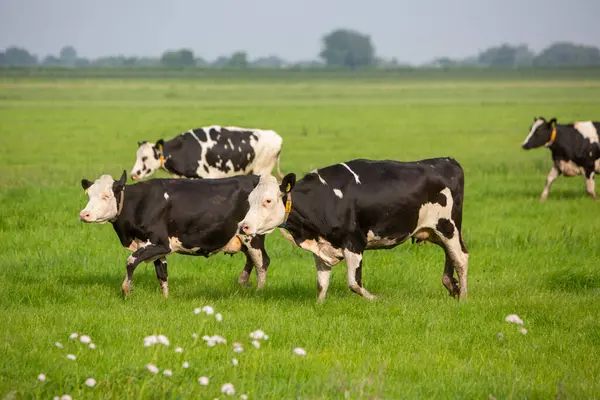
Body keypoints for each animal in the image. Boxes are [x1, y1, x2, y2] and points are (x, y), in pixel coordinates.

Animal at [78, 170, 270, 296]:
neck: (140, 202)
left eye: (106, 196)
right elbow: (162, 273)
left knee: (262, 262)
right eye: (89, 196)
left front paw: (127, 290)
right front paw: (166, 299)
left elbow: (131, 261)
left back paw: (259, 292)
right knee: (251, 261)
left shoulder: (160, 242)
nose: (84, 214)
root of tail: (255, 177)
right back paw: (242, 282)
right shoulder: (156, 247)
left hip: (253, 237)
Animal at [236, 158, 468, 302]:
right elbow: (322, 284)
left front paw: (378, 299)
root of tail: (446, 161)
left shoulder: (354, 242)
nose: (243, 226)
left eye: (268, 200)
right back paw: (452, 286)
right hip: (435, 232)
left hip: (448, 226)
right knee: (450, 255)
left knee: (461, 258)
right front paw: (319, 305)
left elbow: (354, 283)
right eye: (250, 199)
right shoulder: (322, 247)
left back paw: (463, 297)